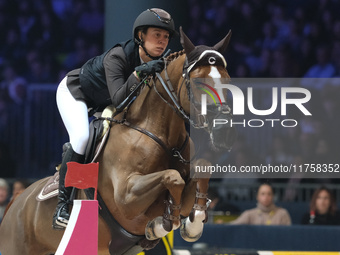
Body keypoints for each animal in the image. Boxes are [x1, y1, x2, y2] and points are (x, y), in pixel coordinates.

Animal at [0, 28, 234, 255]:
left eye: (228, 80)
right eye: (198, 82)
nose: (222, 130)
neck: (161, 136)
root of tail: (16, 202)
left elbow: (201, 169)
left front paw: (191, 225)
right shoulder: (126, 197)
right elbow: (173, 177)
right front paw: (162, 224)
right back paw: (62, 214)